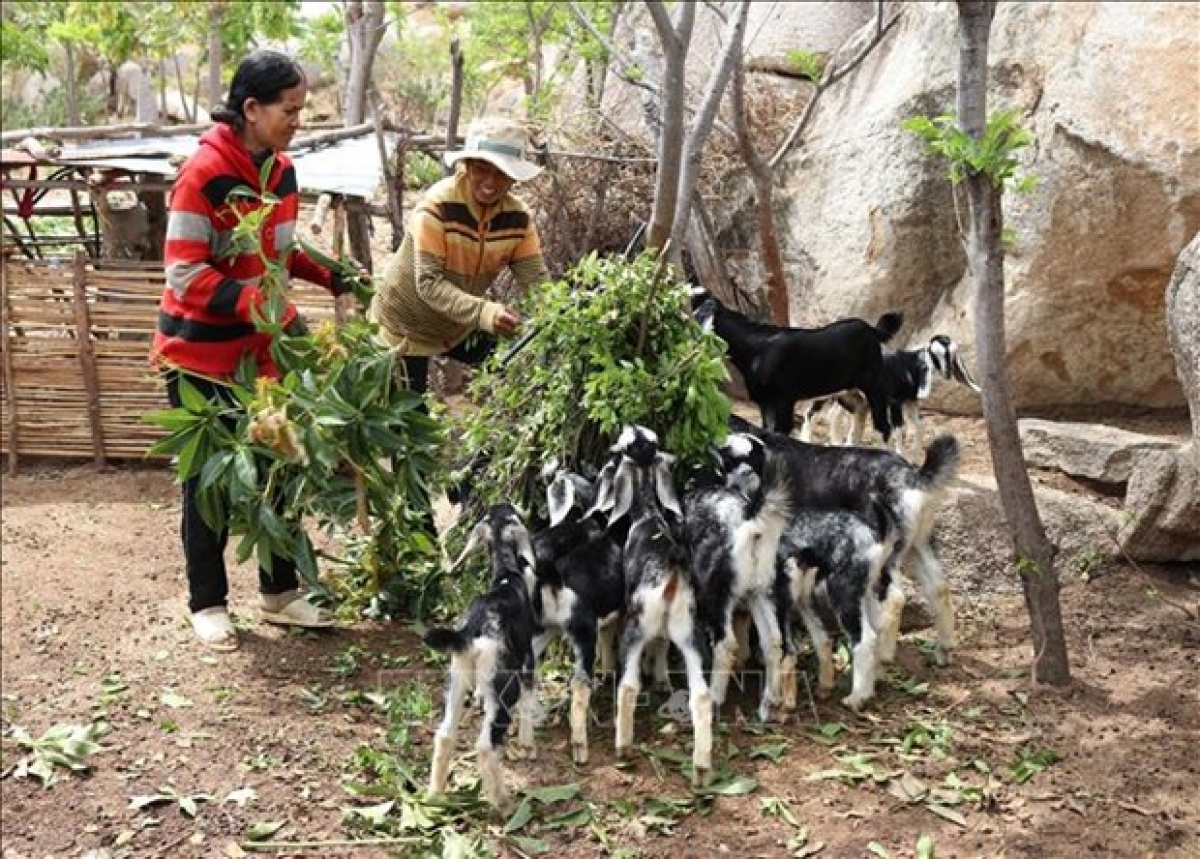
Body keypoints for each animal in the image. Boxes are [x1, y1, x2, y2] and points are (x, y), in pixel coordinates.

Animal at [696, 290, 902, 439]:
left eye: (699, 317)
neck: (756, 350)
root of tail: (873, 330)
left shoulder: (784, 399)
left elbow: (781, 433)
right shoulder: (765, 401)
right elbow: (766, 432)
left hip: (873, 383)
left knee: (883, 427)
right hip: (846, 389)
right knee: (861, 409)